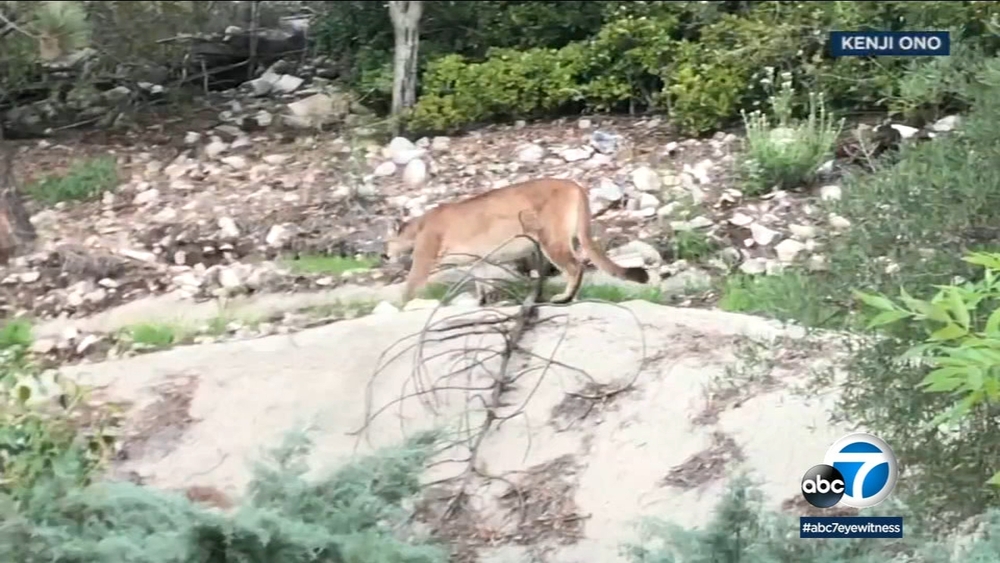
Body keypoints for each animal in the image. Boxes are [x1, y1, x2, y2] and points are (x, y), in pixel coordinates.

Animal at [383, 177, 651, 304]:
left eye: (387, 242)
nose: (384, 255)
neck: (418, 226)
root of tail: (573, 184)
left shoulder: (424, 258)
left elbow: (411, 284)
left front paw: (402, 305)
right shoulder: (478, 259)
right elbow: (481, 281)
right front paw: (481, 302)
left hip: (550, 238)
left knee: (575, 266)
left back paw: (563, 298)